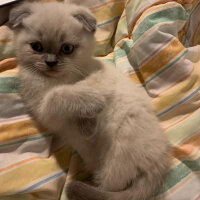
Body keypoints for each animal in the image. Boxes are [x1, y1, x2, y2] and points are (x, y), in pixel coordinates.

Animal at [8, 1, 170, 200]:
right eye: (37, 47)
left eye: (67, 49)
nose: (51, 62)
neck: (63, 78)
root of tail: (160, 162)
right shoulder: (43, 107)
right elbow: (61, 94)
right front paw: (90, 115)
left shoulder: (98, 76)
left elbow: (83, 88)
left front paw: (91, 118)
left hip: (117, 154)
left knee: (111, 188)